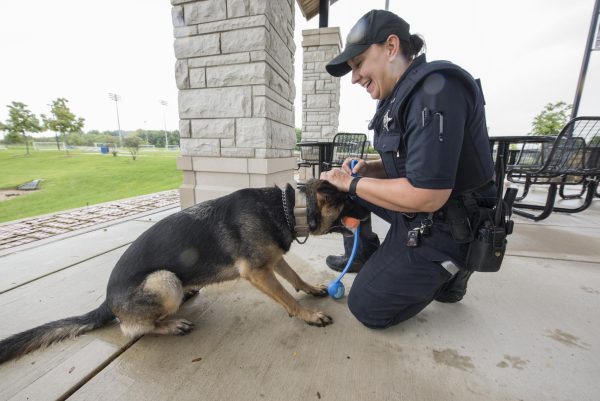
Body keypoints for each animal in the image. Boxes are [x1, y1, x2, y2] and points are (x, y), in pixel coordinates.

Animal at [0, 178, 368, 362]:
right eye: (350, 200)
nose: (370, 213)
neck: (290, 207)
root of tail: (107, 299)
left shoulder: (273, 259)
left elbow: (294, 277)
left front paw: (312, 290)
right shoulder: (258, 271)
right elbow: (286, 297)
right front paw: (307, 315)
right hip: (165, 281)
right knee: (133, 328)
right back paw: (170, 325)